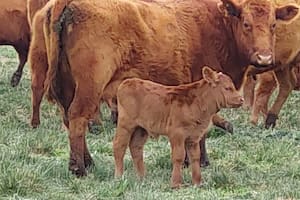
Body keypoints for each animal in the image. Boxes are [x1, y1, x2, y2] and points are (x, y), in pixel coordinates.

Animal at [112, 67, 244, 188]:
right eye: (227, 88)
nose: (241, 99)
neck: (199, 102)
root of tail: (127, 82)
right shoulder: (177, 134)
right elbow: (178, 156)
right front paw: (176, 183)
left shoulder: (194, 137)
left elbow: (195, 157)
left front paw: (197, 182)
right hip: (125, 124)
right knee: (119, 146)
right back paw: (119, 176)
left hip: (141, 129)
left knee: (136, 147)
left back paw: (142, 177)